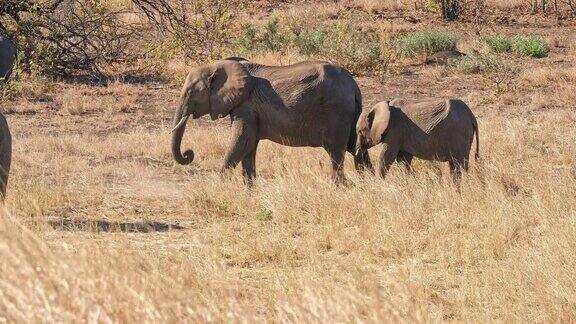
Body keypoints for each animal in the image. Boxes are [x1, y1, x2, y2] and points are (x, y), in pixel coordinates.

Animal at [170, 59, 374, 184]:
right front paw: (250, 190)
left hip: (336, 113)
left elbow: (241, 141)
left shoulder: (246, 107)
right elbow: (249, 147)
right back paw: (370, 183)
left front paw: (221, 186)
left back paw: (339, 187)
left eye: (190, 92)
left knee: (336, 152)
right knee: (357, 148)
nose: (189, 154)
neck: (218, 66)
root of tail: (354, 87)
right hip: (350, 115)